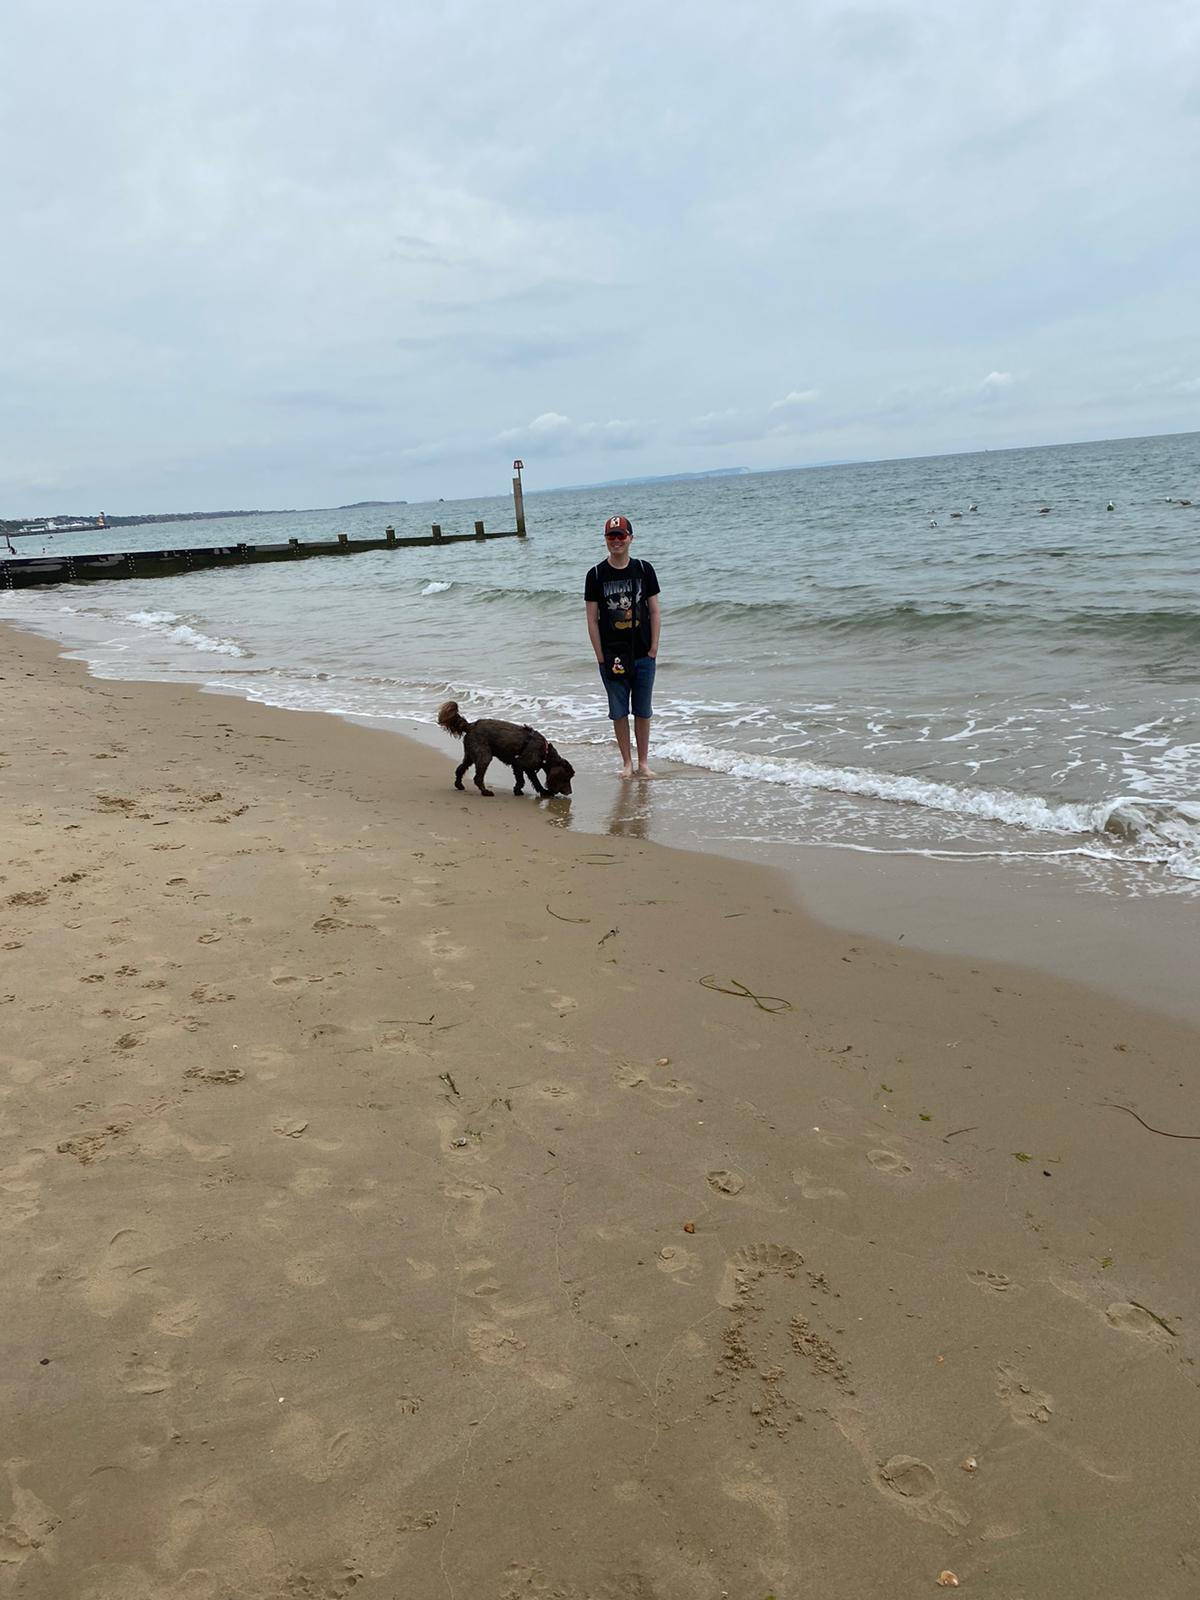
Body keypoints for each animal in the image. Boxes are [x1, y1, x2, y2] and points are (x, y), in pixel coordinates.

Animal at [437, 700, 575, 798]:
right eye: (566, 778)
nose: (570, 792)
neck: (545, 752)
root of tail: (470, 725)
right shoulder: (519, 764)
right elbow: (522, 781)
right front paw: (518, 791)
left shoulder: (527, 768)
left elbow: (535, 782)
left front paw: (543, 792)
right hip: (484, 756)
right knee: (477, 778)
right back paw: (486, 792)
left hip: (470, 755)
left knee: (460, 769)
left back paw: (459, 785)